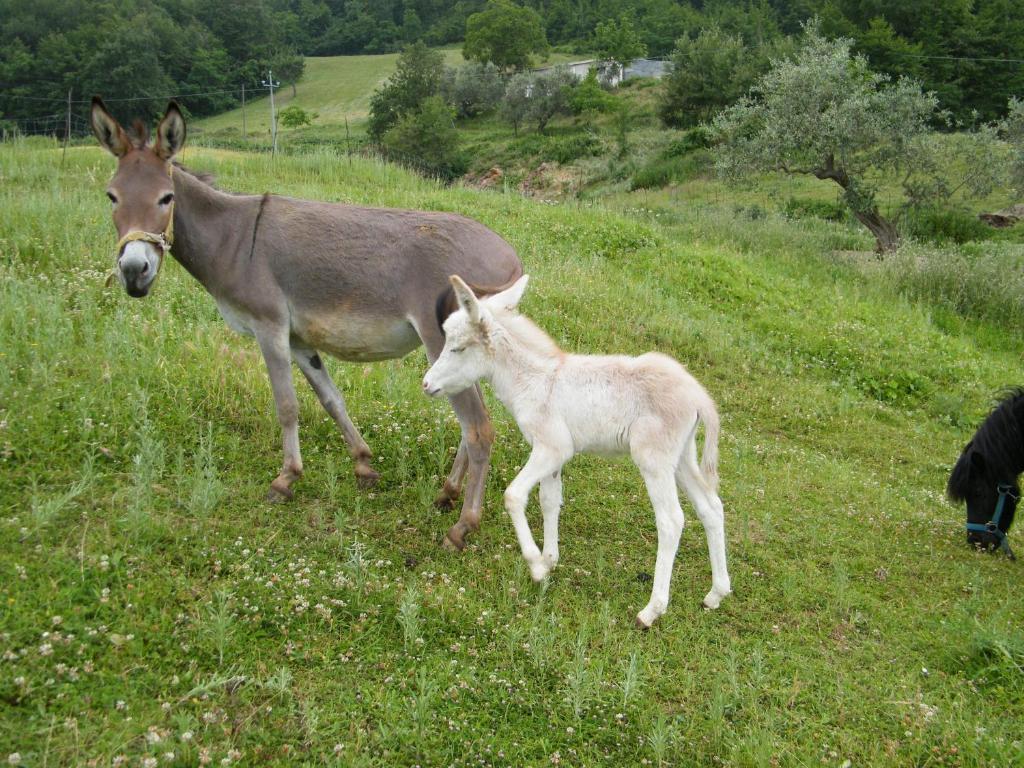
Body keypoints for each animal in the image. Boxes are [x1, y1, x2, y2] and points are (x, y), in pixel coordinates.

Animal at [419, 276, 733, 630]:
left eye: (458, 347)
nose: (426, 384)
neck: (535, 380)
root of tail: (698, 397)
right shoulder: (554, 456)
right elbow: (549, 501)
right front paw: (549, 559)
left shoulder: (551, 447)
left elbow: (514, 496)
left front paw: (536, 566)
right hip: (682, 458)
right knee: (711, 508)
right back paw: (716, 594)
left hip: (654, 459)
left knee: (671, 521)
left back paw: (651, 611)